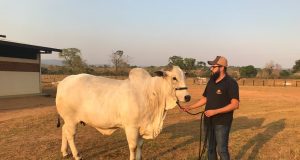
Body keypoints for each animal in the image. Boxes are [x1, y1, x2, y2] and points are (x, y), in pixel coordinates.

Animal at [55, 65, 191, 159]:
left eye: (185, 77)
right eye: (174, 78)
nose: (187, 97)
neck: (151, 92)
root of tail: (62, 83)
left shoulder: (142, 126)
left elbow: (140, 145)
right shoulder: (131, 127)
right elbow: (133, 146)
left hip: (68, 120)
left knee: (64, 130)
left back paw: (64, 152)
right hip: (71, 119)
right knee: (70, 135)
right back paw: (77, 155)